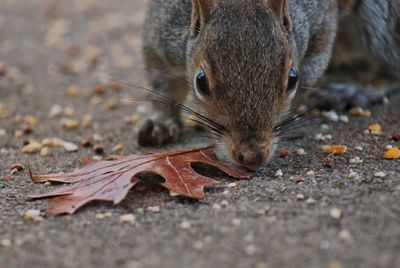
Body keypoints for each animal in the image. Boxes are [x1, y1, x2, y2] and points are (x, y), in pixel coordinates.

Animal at [135, 0, 400, 169]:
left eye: (292, 78)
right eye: (201, 82)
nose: (253, 156)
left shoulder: (321, 25)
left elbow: (314, 66)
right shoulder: (162, 31)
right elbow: (161, 81)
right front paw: (160, 122)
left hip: (380, 19)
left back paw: (355, 89)